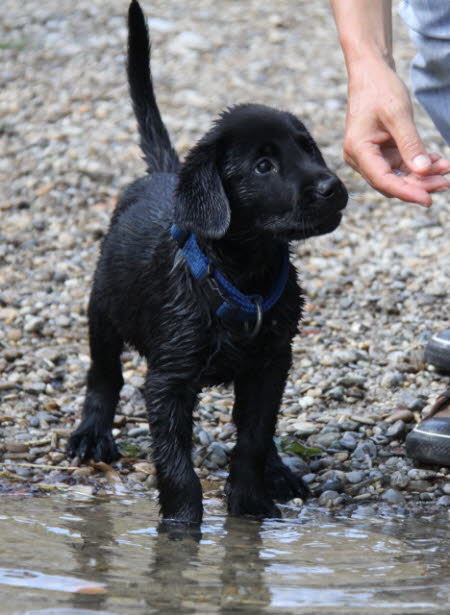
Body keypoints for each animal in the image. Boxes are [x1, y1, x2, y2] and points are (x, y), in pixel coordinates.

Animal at [67, 1, 348, 524]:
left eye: (307, 147)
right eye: (263, 165)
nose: (332, 187)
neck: (242, 276)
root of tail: (163, 175)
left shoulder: (272, 362)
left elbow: (254, 437)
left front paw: (251, 504)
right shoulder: (170, 379)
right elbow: (176, 461)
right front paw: (181, 526)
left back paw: (278, 471)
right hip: (103, 307)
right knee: (103, 376)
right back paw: (92, 434)